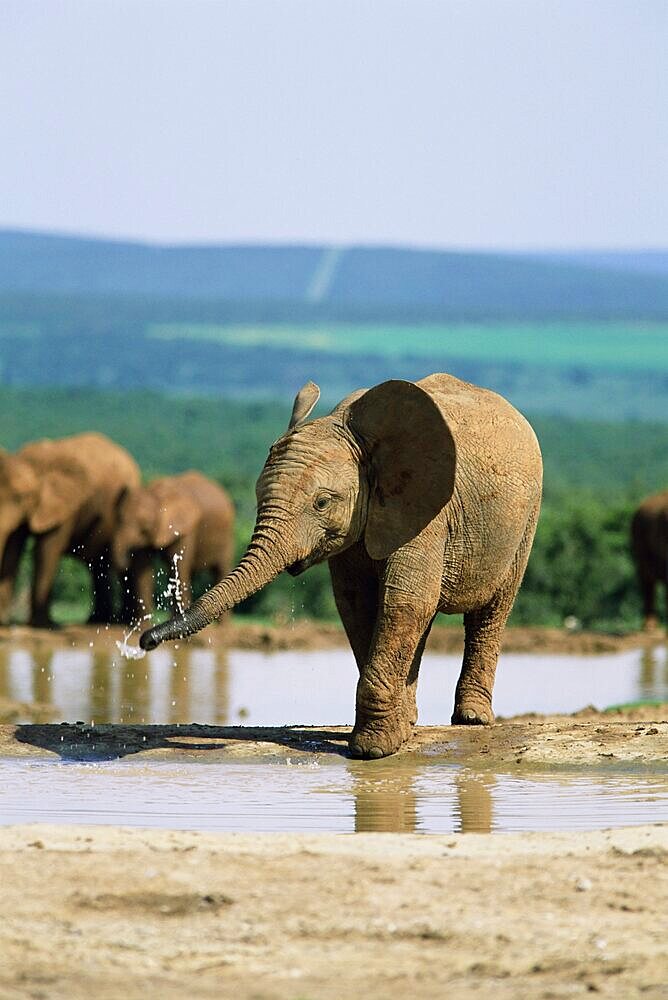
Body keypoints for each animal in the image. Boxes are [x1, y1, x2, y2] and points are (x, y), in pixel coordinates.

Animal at [0, 430, 141, 624]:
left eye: (20, 498)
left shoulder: (63, 507)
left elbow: (46, 549)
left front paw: (42, 624)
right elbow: (12, 549)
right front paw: (3, 621)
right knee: (98, 565)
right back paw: (96, 619)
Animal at [115, 470, 237, 624]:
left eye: (145, 526)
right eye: (119, 518)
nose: (125, 561)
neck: (157, 494)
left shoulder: (185, 528)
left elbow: (177, 567)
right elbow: (143, 570)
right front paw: (142, 626)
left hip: (227, 535)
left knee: (220, 568)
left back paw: (223, 626)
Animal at [142, 374, 544, 756]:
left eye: (322, 503)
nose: (146, 640)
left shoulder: (425, 510)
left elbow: (404, 602)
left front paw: (372, 750)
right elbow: (358, 604)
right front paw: (393, 734)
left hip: (527, 519)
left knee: (489, 611)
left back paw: (472, 719)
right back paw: (412, 720)